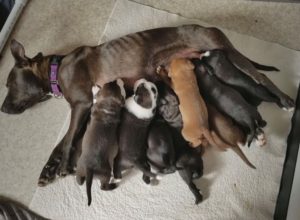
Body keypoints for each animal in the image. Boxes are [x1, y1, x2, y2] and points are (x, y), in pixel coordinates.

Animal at [1, 24, 294, 186]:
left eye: (8, 84)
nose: (3, 110)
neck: (55, 68)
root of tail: (209, 27)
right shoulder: (85, 108)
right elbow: (63, 141)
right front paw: (48, 170)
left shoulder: (82, 105)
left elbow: (70, 138)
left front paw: (62, 166)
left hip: (226, 52)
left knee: (261, 77)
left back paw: (286, 101)